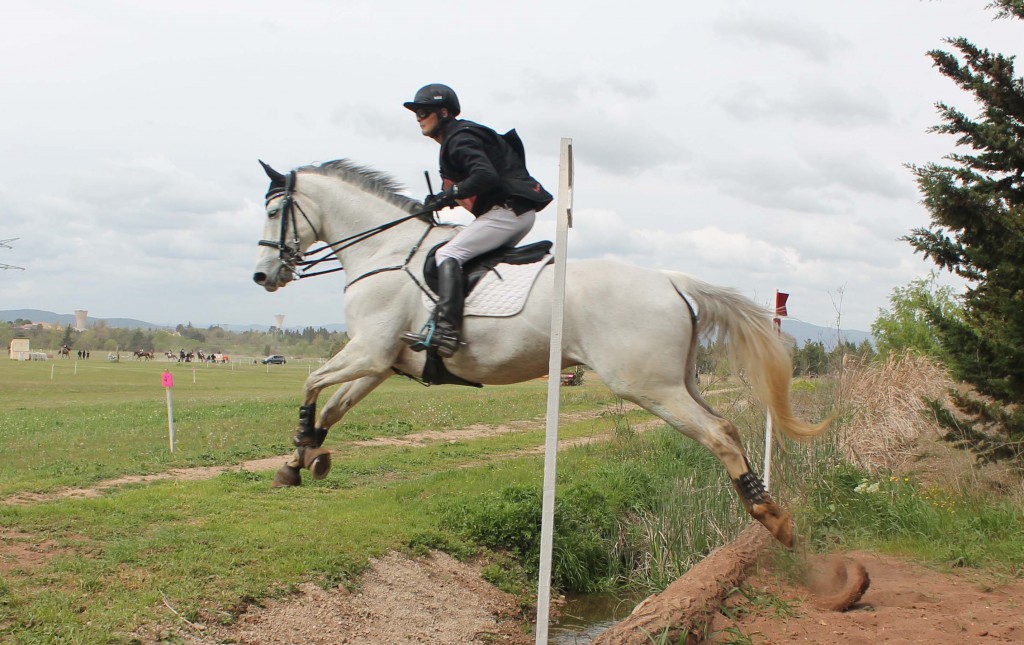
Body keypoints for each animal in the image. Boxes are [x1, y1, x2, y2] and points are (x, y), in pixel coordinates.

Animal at [249, 159, 831, 548]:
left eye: (275, 210)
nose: (263, 276)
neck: (384, 253)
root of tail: (671, 278)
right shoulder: (383, 362)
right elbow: (332, 406)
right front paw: (303, 459)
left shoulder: (368, 352)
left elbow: (310, 384)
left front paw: (300, 451)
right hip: (678, 381)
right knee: (726, 426)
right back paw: (767, 506)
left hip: (648, 386)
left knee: (716, 435)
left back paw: (771, 517)